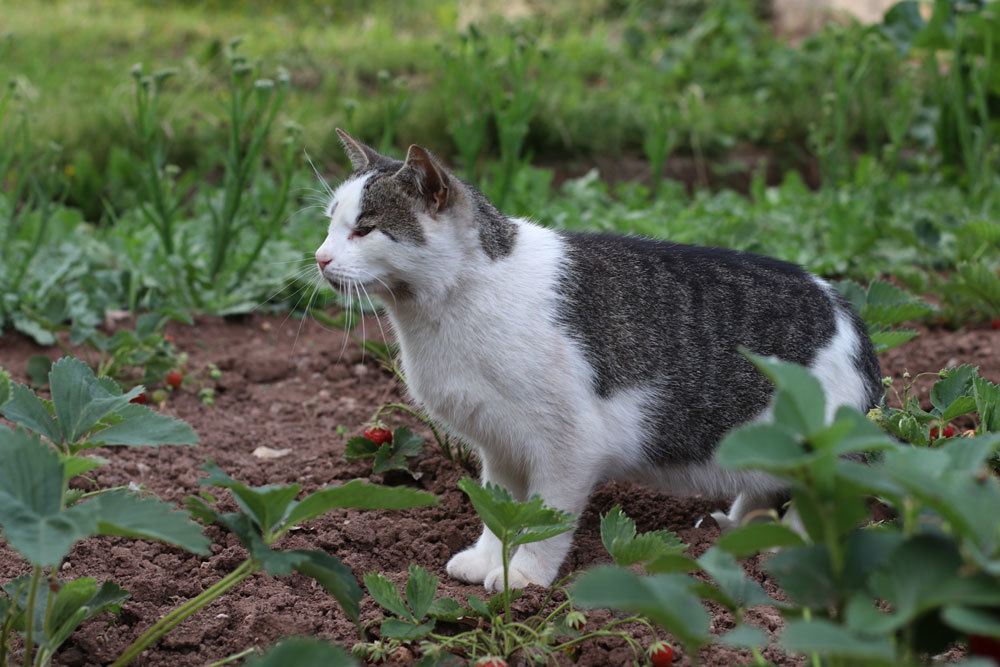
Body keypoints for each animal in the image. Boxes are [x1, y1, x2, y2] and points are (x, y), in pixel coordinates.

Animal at [316, 129, 880, 588]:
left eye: (364, 229)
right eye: (330, 225)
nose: (320, 257)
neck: (443, 309)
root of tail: (848, 310)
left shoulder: (569, 447)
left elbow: (543, 521)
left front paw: (524, 575)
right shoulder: (500, 445)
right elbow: (499, 512)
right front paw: (487, 559)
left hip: (820, 454)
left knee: (820, 509)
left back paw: (789, 548)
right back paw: (737, 526)